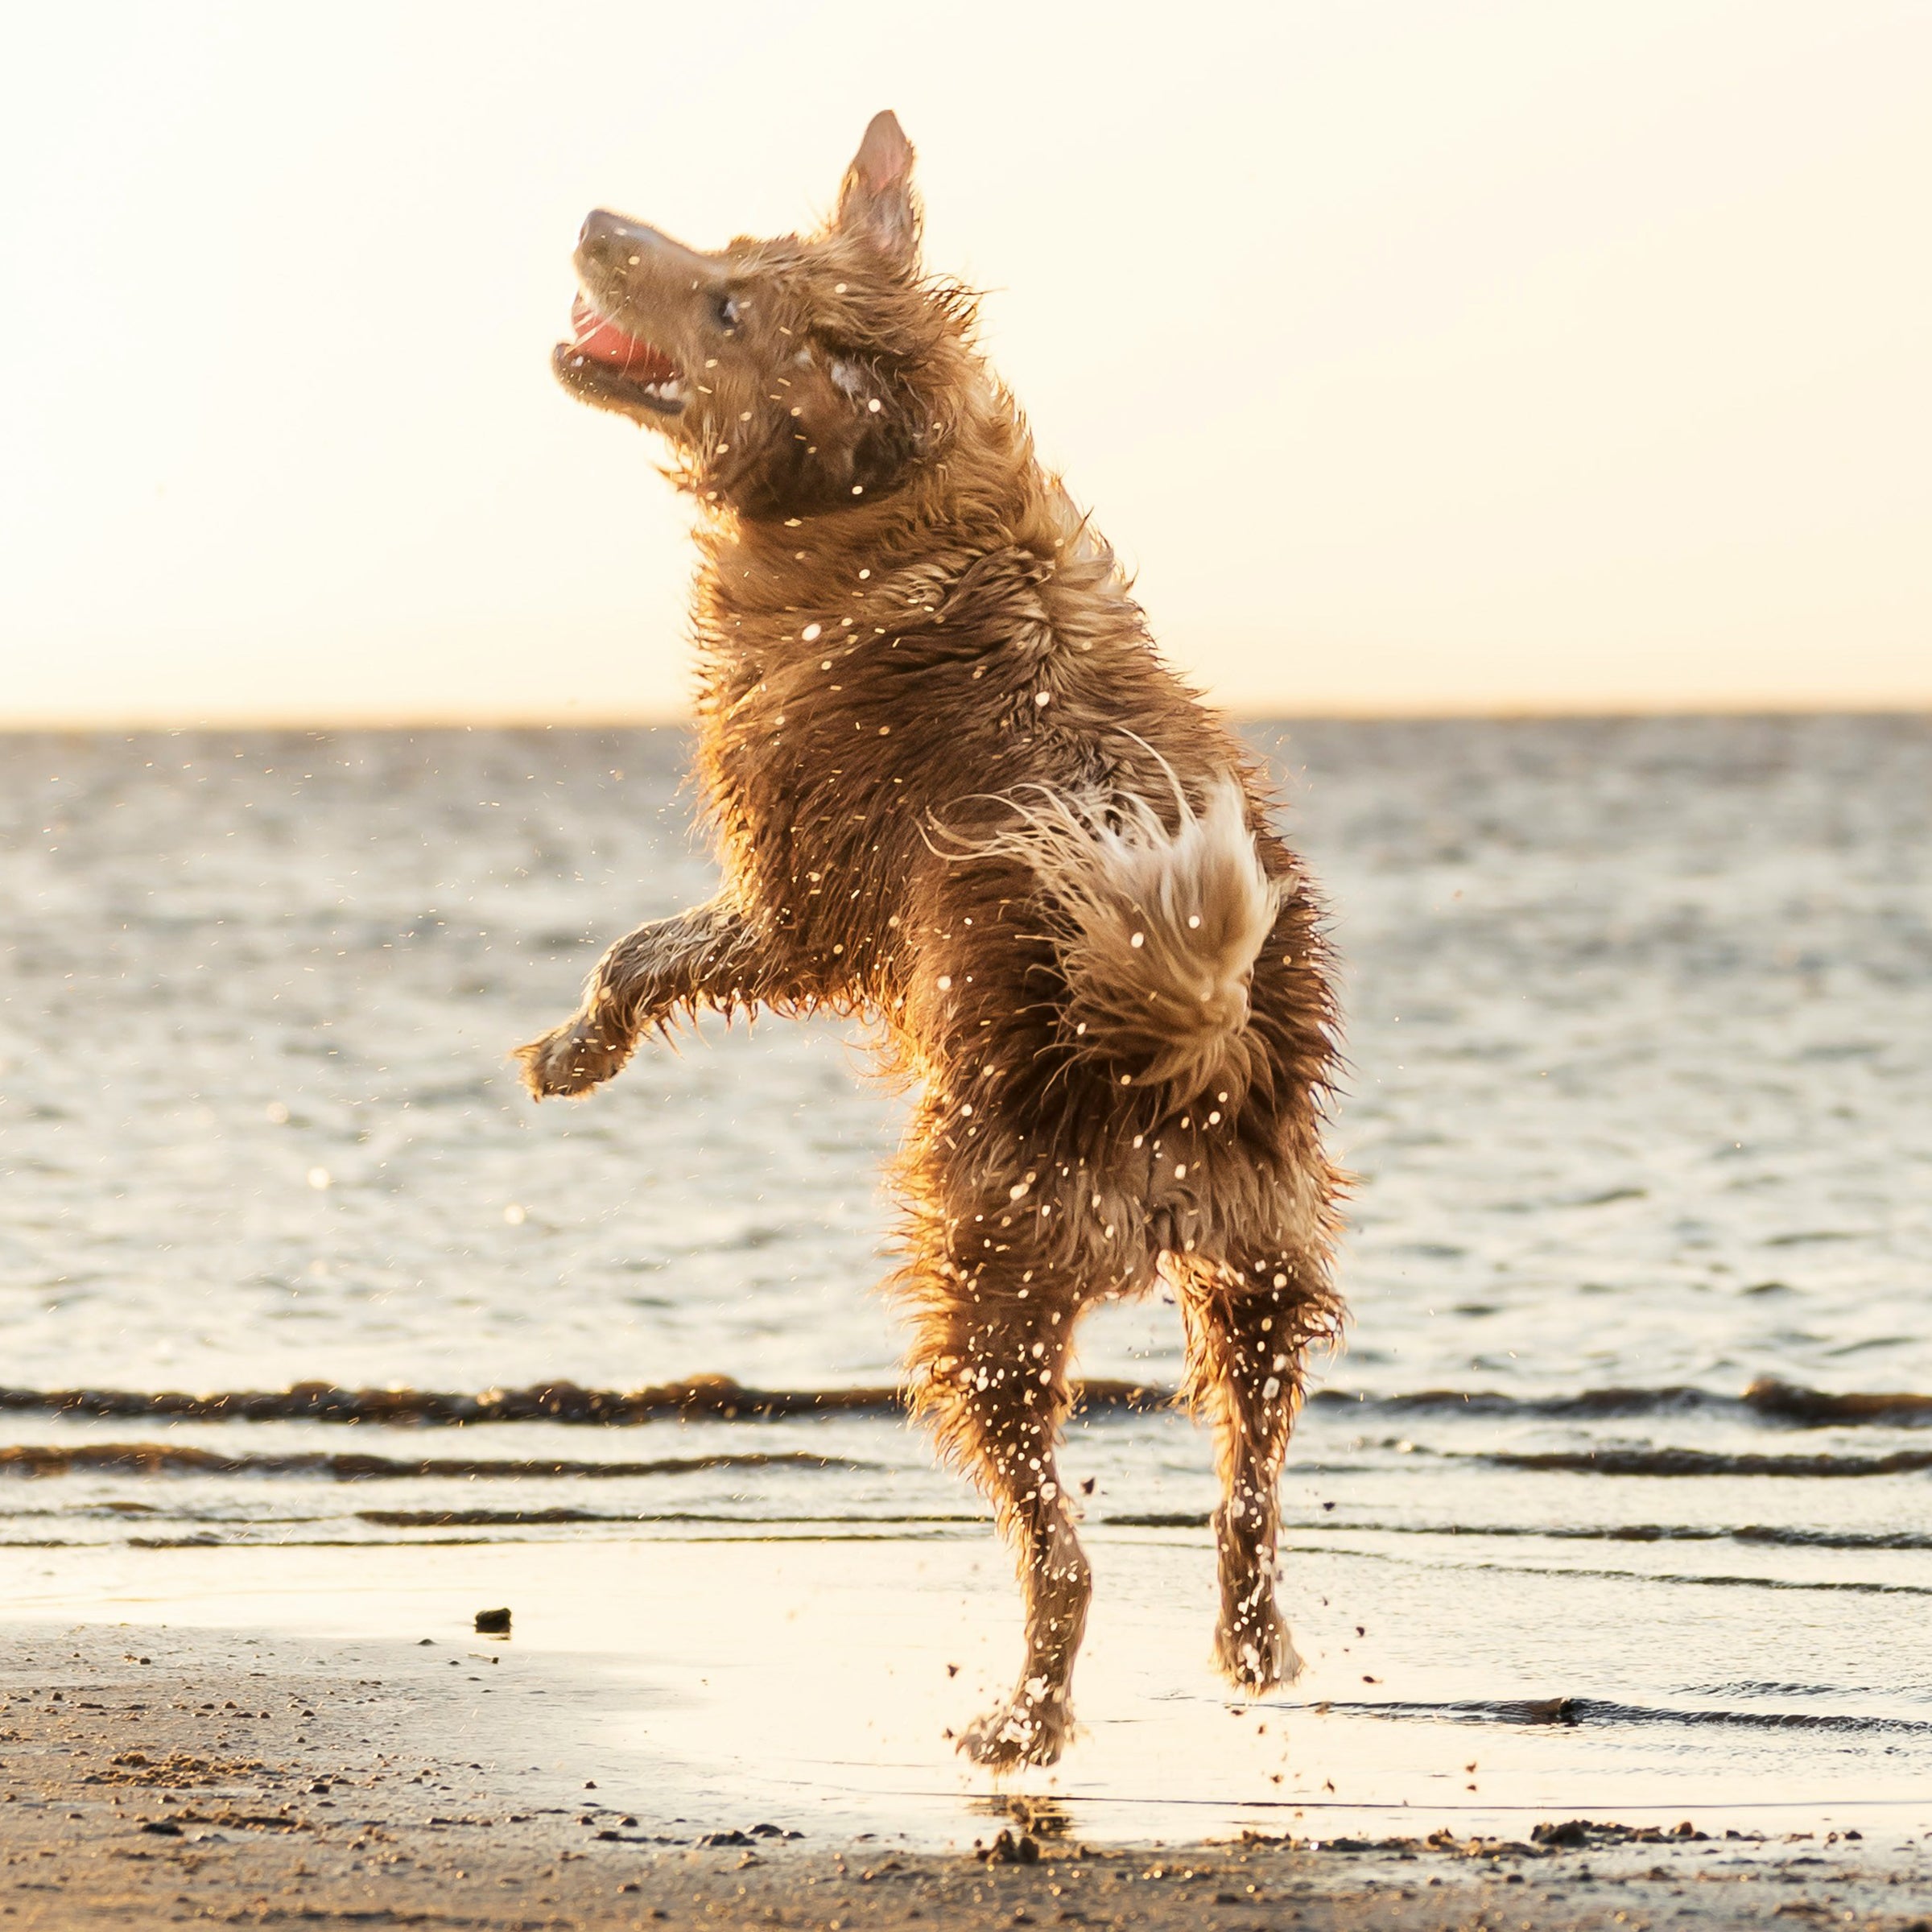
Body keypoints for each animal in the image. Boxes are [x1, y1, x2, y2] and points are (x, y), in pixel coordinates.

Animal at [522, 109, 1352, 1769]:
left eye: (726, 306)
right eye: (726, 250)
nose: (592, 219)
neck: (873, 504)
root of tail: (1181, 1053)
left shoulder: (797, 905)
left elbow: (643, 954)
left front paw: (574, 1048)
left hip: (980, 1284)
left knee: (1061, 1548)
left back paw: (1023, 1722)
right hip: (1258, 1279)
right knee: (1248, 1494)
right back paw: (1253, 1654)